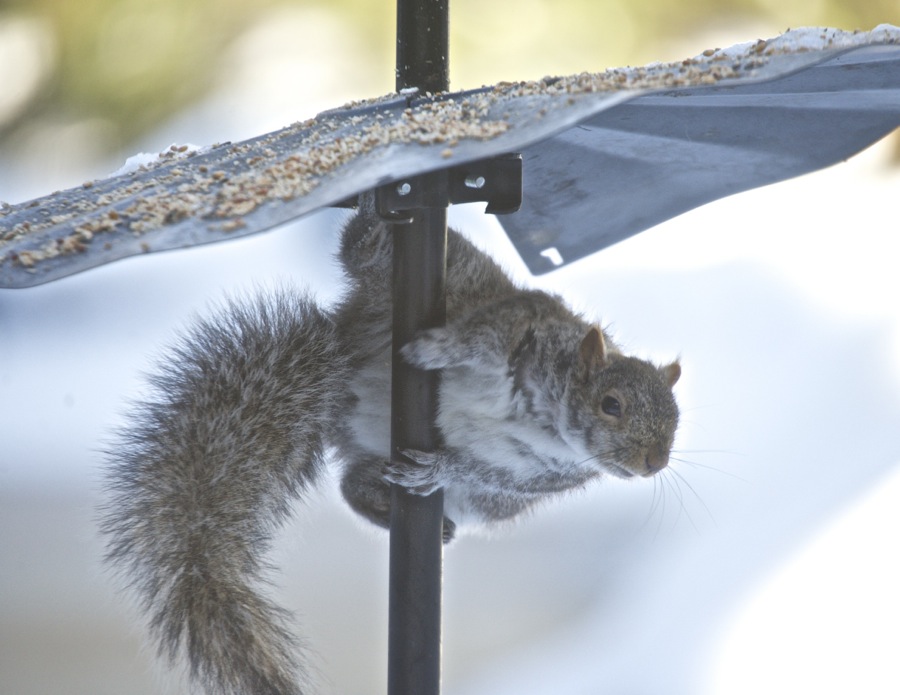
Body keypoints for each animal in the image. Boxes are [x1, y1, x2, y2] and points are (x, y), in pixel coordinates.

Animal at [100, 207, 676, 695]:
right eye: (611, 404)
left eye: (675, 422)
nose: (654, 464)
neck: (548, 424)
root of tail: (339, 387)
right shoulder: (524, 328)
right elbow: (479, 335)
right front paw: (437, 349)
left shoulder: (537, 475)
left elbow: (484, 470)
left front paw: (438, 467)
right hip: (440, 278)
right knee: (360, 252)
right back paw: (374, 226)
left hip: (438, 483)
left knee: (351, 482)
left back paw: (399, 507)